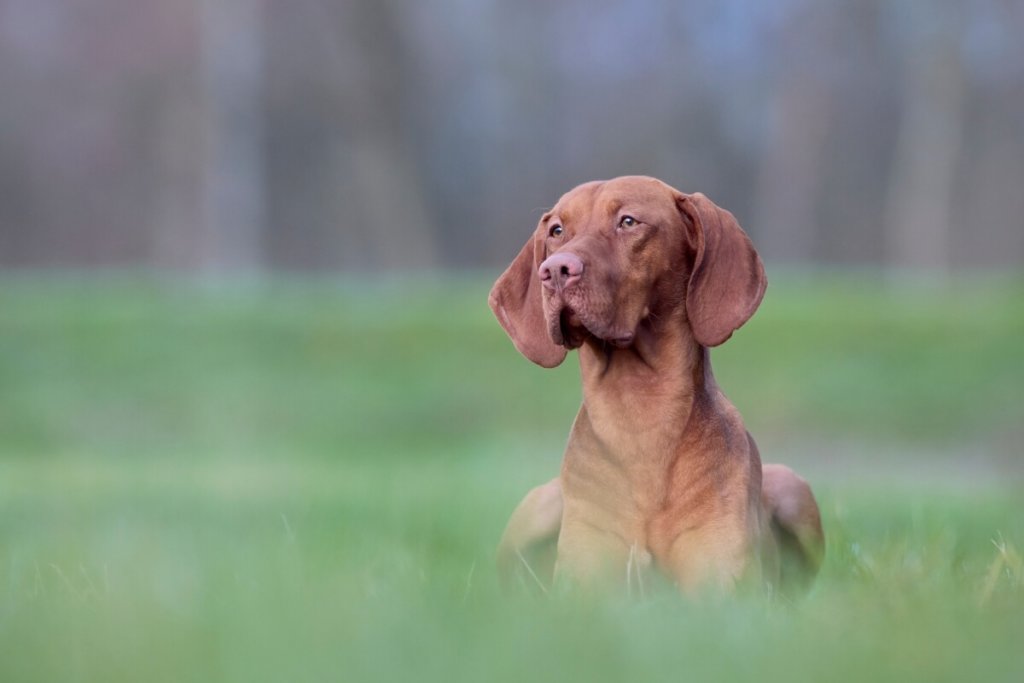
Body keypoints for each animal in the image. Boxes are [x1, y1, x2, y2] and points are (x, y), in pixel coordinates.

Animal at [485, 176, 823, 598]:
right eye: (557, 231)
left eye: (629, 222)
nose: (555, 270)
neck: (638, 409)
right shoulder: (582, 585)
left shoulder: (723, 589)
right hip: (539, 507)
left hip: (793, 487)